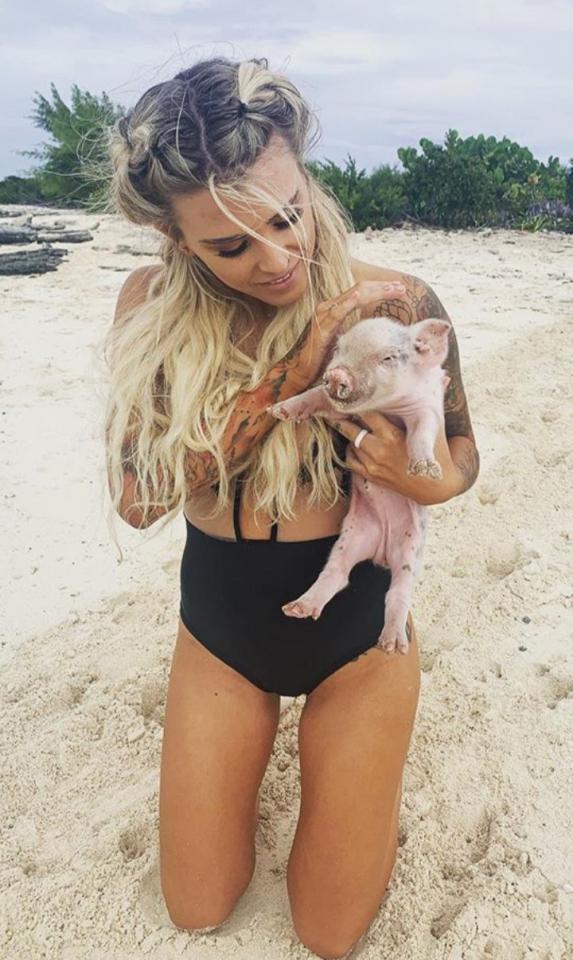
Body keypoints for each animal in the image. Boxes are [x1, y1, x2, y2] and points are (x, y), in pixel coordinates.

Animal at [268, 314, 452, 654]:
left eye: (388, 357)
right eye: (339, 348)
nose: (336, 373)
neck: (385, 407)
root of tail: (380, 552)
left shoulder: (427, 407)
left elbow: (421, 434)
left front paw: (424, 470)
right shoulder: (332, 405)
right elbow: (312, 396)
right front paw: (278, 410)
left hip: (411, 550)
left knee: (398, 593)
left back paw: (392, 646)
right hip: (352, 537)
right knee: (337, 574)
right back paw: (296, 609)